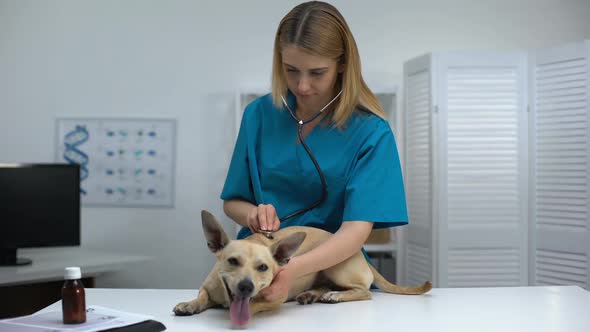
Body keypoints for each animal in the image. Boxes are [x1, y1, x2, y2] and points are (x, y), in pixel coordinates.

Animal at [173, 210, 432, 326]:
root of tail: (360, 254)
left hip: (336, 266)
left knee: (365, 292)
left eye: (263, 267)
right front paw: (189, 304)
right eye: (232, 261)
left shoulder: (274, 298)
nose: (246, 287)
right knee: (324, 286)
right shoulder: (208, 288)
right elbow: (201, 296)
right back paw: (312, 295)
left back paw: (336, 296)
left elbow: (256, 305)